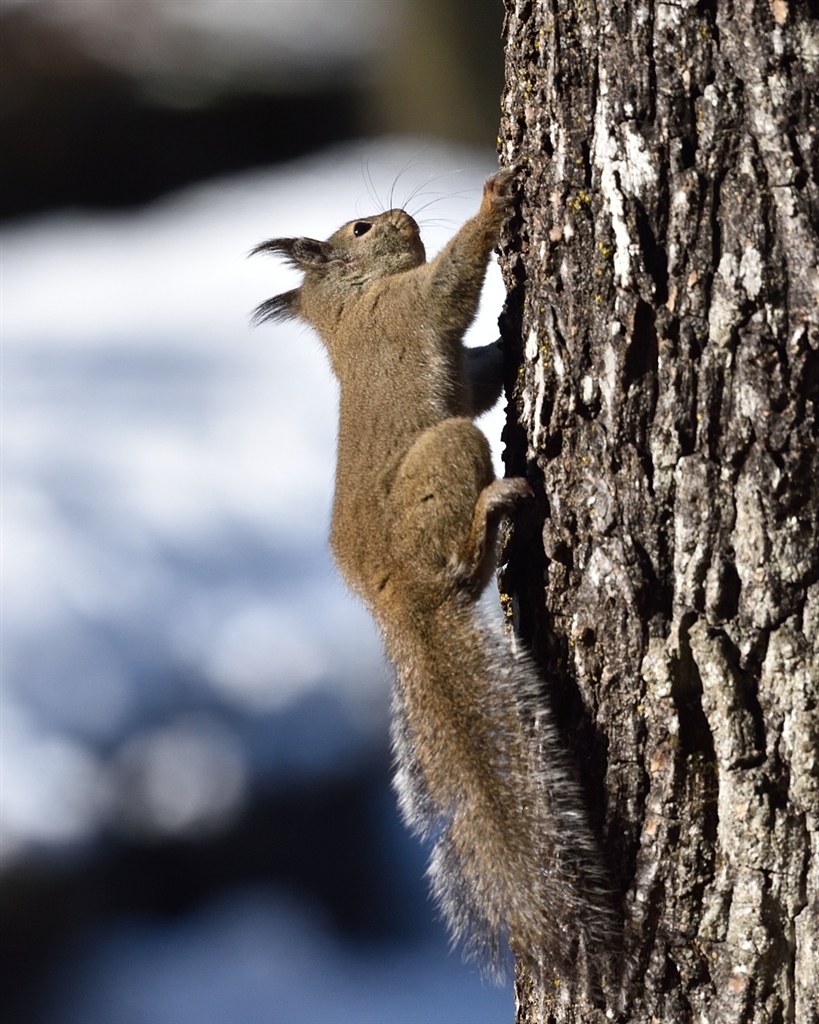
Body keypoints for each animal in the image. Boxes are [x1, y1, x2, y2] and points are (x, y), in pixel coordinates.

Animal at [252, 172, 618, 987]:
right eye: (360, 228)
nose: (400, 214)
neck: (353, 308)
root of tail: (399, 601)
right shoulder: (411, 307)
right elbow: (453, 285)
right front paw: (493, 200)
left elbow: (477, 370)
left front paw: (512, 340)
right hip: (448, 453)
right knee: (463, 552)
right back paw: (497, 507)